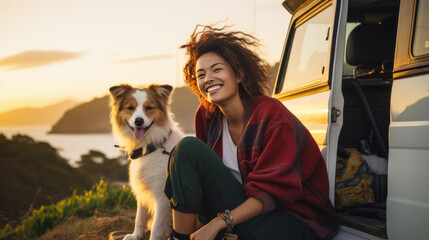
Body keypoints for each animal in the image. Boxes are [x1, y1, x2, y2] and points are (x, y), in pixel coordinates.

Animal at [108, 84, 182, 240]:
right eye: (130, 108)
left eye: (149, 108)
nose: (139, 121)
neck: (150, 147)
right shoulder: (142, 189)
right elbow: (140, 218)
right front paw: (135, 236)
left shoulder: (162, 196)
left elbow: (156, 226)